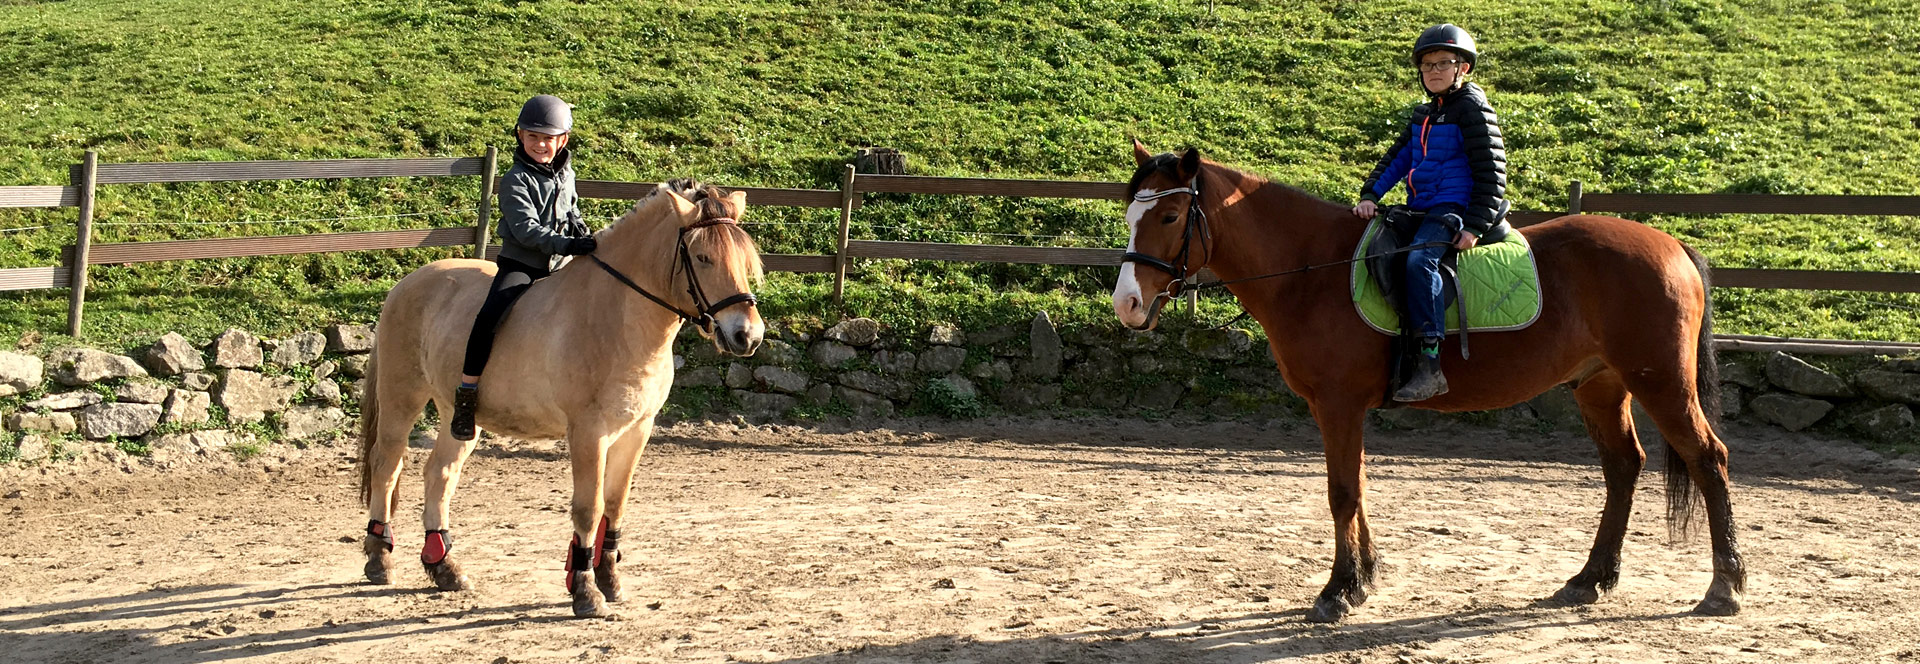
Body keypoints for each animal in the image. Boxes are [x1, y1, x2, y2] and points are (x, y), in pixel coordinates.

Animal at [357, 177, 760, 617]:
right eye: (703, 257)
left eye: (744, 258)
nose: (747, 335)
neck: (619, 317)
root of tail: (406, 283)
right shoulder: (588, 432)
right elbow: (589, 508)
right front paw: (585, 590)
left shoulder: (637, 430)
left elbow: (615, 504)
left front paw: (609, 579)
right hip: (402, 398)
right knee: (386, 465)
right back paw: (379, 558)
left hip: (458, 416)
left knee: (440, 474)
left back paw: (444, 567)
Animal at [1121, 140, 1751, 621]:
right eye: (1130, 215)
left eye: (1170, 217)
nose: (1127, 304)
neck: (1311, 271)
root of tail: (1671, 245)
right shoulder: (1340, 409)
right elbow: (1358, 487)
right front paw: (1364, 579)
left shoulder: (1339, 403)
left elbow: (1342, 492)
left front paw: (1337, 592)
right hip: (1601, 385)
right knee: (1623, 466)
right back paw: (1589, 579)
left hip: (1661, 382)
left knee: (1708, 459)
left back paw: (1724, 586)